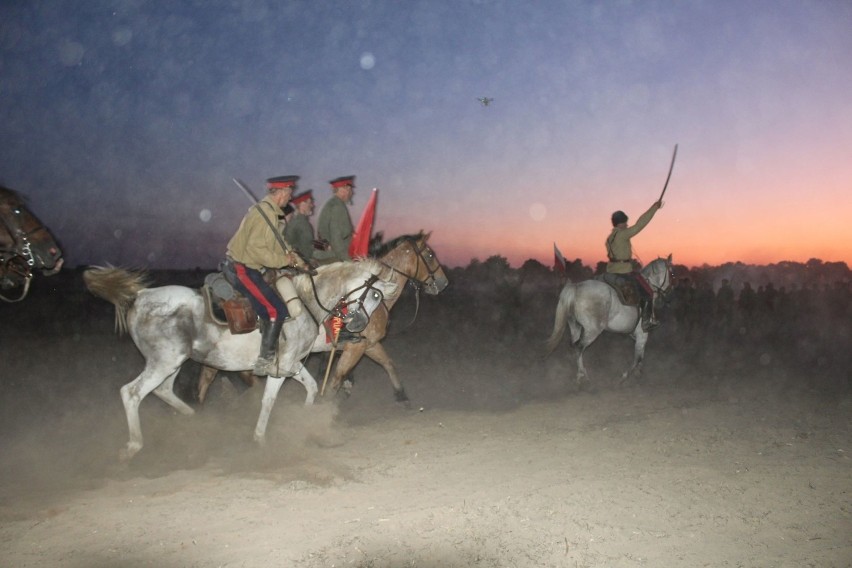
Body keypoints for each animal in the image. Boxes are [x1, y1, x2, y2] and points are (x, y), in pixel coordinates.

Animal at [83, 260, 396, 462]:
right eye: (374, 294)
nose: (359, 325)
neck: (305, 303)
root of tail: (139, 296)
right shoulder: (282, 368)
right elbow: (269, 400)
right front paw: (260, 438)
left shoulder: (292, 363)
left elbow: (309, 386)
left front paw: (306, 420)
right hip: (163, 362)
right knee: (132, 393)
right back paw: (133, 446)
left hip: (173, 363)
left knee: (162, 391)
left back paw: (196, 422)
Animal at [198, 233, 452, 406]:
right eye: (430, 255)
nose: (443, 283)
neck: (374, 293)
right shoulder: (356, 347)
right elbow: (337, 378)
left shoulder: (369, 345)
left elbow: (388, 364)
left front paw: (402, 395)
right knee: (213, 377)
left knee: (214, 375)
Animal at [544, 256, 672, 386]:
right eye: (672, 273)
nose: (667, 298)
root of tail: (577, 287)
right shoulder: (643, 334)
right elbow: (638, 358)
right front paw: (623, 377)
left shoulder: (637, 335)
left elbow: (640, 356)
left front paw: (638, 373)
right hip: (592, 331)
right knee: (579, 347)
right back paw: (582, 376)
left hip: (575, 326)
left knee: (574, 346)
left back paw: (579, 373)